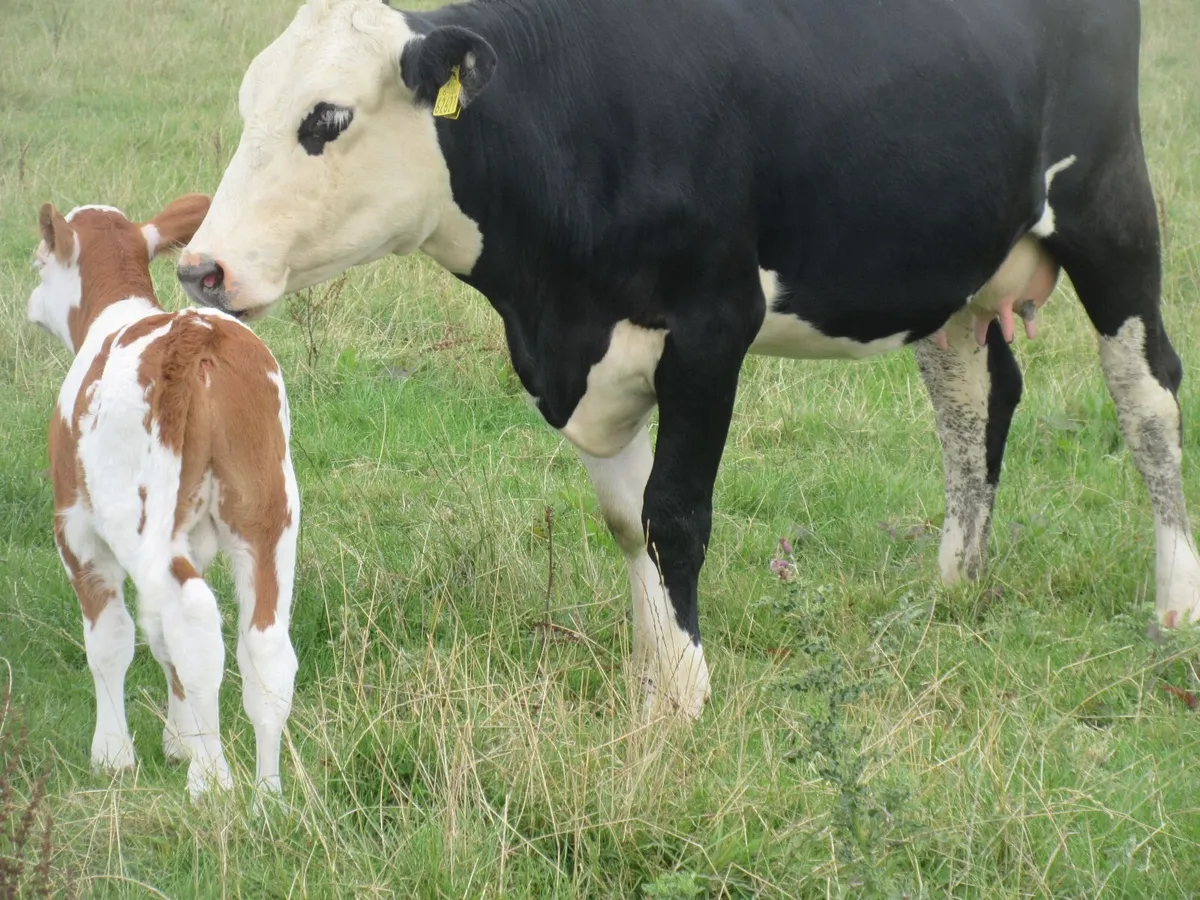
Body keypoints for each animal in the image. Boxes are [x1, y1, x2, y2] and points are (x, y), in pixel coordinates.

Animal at [28, 196, 300, 798]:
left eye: (38, 262)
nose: (31, 303)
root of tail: (193, 334)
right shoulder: (191, 536)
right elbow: (159, 635)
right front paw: (179, 740)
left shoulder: (76, 528)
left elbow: (112, 639)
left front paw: (113, 754)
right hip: (268, 511)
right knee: (264, 643)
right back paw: (268, 794)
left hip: (139, 519)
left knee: (196, 622)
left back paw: (213, 780)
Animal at [178, 0, 1199, 717]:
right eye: (248, 106)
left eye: (327, 118)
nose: (200, 266)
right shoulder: (585, 361)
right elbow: (628, 521)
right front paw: (654, 676)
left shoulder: (711, 327)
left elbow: (675, 514)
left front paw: (686, 695)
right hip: (948, 264)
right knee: (974, 398)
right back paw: (955, 585)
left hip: (1109, 208)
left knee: (1146, 396)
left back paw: (1174, 606)